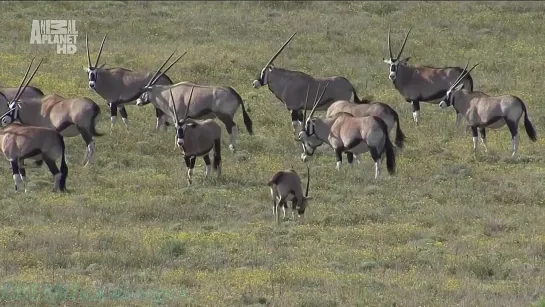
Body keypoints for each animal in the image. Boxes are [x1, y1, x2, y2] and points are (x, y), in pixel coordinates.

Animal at [0, 59, 68, 192]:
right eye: (9, 106)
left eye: (14, 108)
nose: (3, 119)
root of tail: (58, 137)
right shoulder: (20, 159)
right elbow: (23, 176)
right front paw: (26, 192)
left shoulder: (13, 158)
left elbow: (16, 177)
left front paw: (18, 192)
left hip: (49, 159)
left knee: (57, 173)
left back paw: (54, 191)